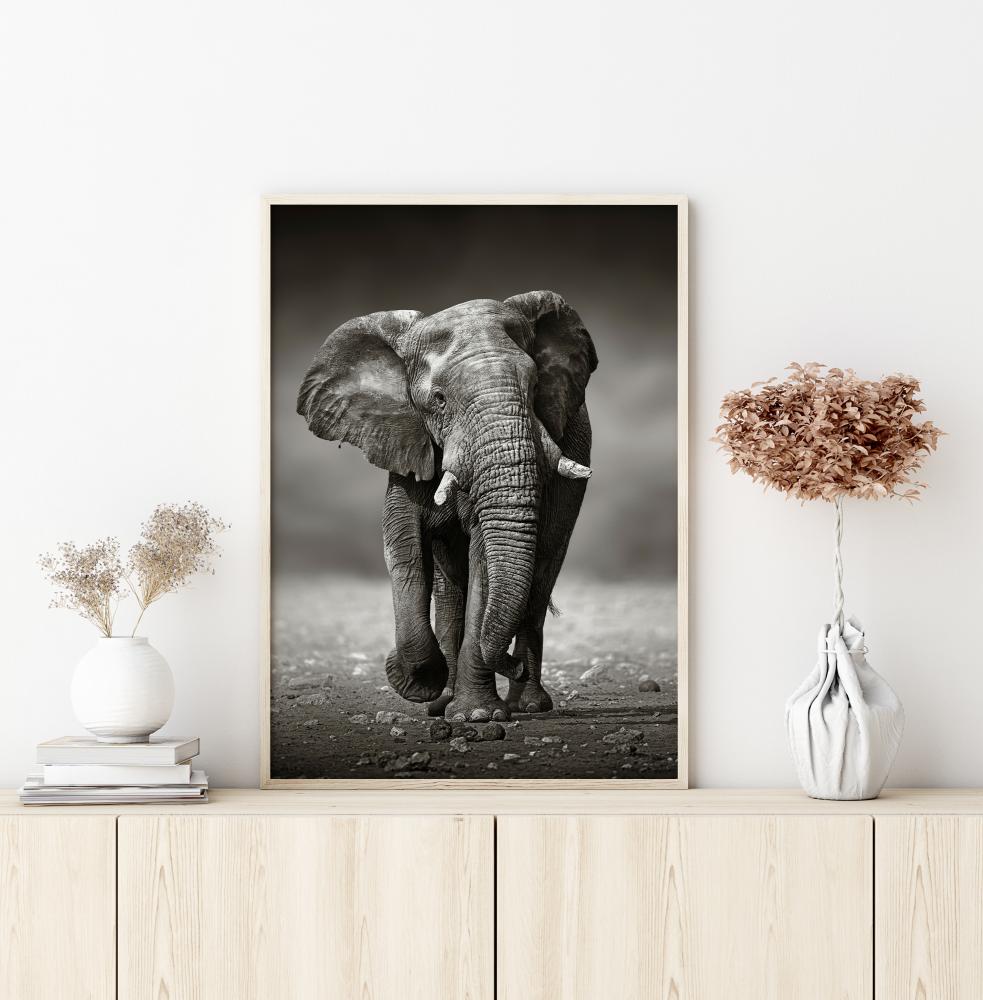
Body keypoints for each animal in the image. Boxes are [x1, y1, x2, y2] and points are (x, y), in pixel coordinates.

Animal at [296, 291, 597, 723]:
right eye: (438, 400)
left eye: (536, 385)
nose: (511, 665)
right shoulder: (405, 440)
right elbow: (403, 546)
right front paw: (419, 683)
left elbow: (484, 558)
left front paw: (478, 716)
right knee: (450, 587)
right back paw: (444, 701)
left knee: (540, 575)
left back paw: (527, 705)